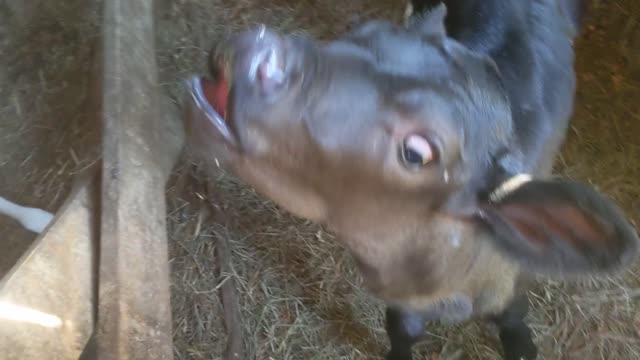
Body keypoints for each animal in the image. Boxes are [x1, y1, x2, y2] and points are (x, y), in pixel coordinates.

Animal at [181, 1, 640, 358]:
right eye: (362, 32)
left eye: (417, 153)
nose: (257, 52)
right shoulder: (402, 303)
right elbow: (403, 331)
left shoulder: (511, 281)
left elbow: (514, 317)